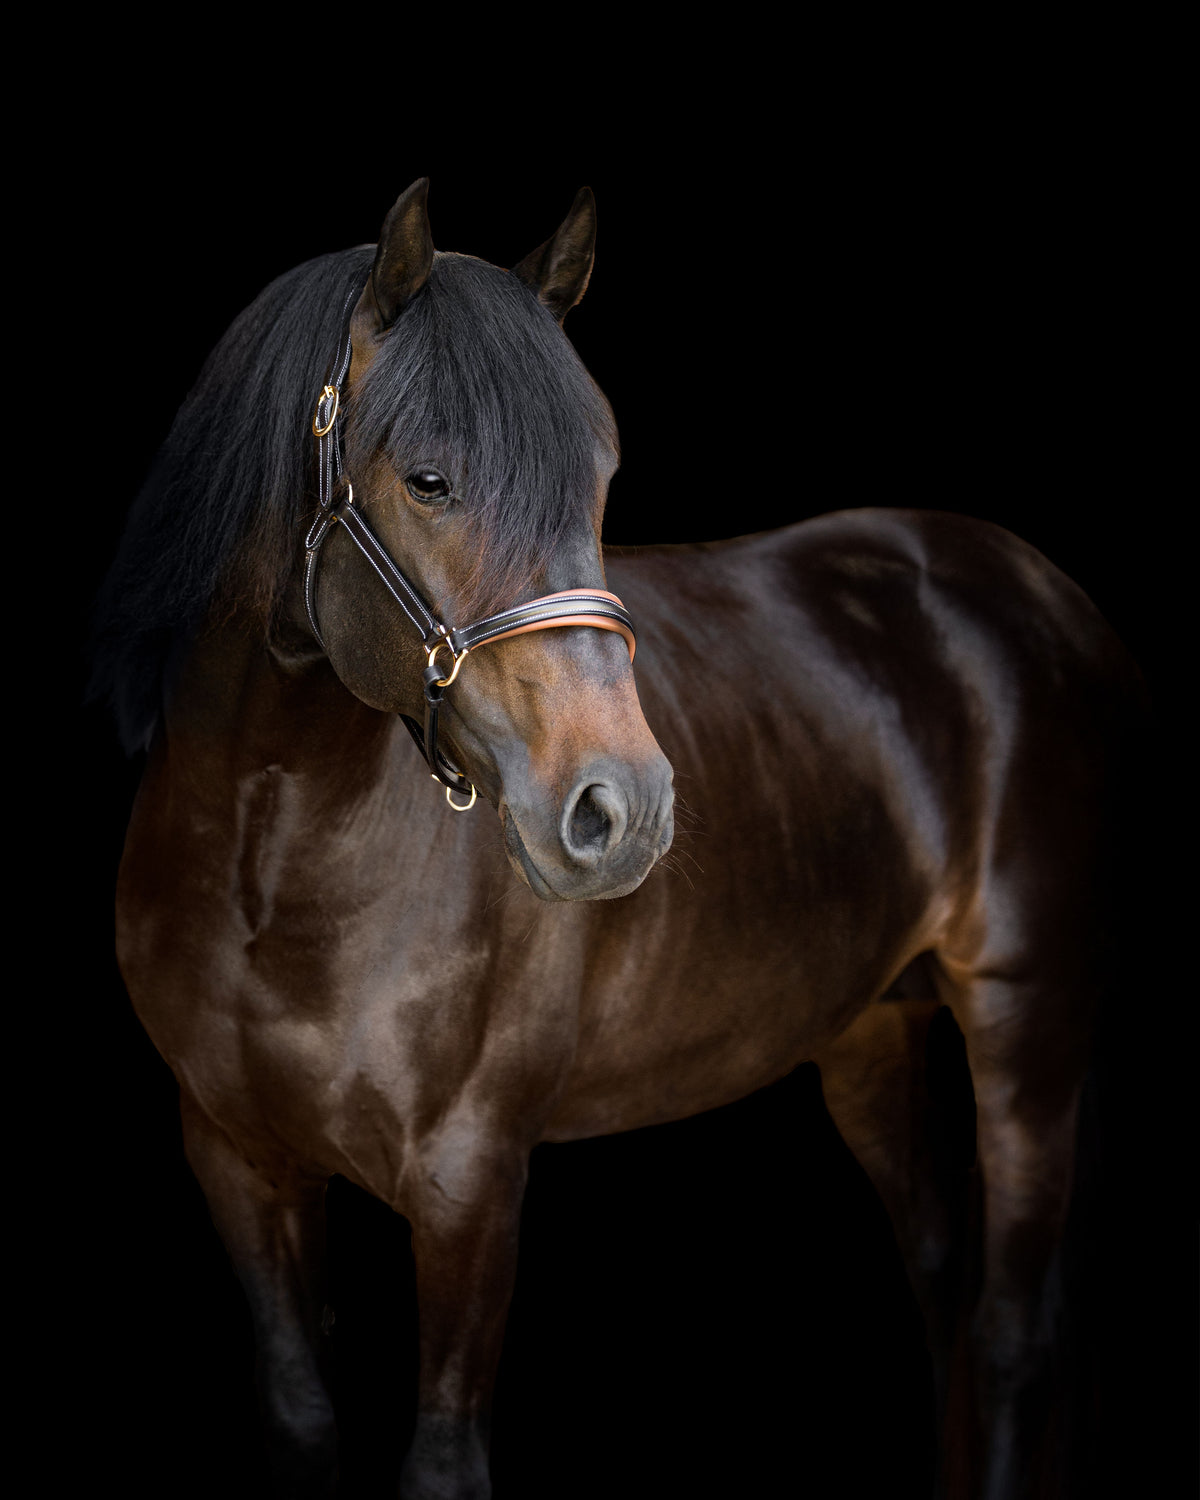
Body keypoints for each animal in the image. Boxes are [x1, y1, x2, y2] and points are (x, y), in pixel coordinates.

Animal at [93, 178, 1147, 1499]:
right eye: (429, 479)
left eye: (597, 481)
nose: (623, 810)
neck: (269, 865)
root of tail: (1041, 593)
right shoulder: (235, 1159)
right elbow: (299, 1419)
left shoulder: (470, 1182)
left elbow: (443, 1459)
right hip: (873, 1032)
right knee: (945, 1291)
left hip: (1025, 1016)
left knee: (1011, 1332)